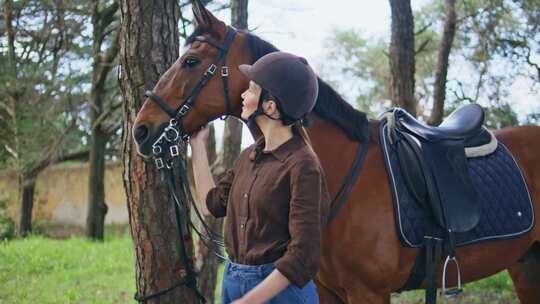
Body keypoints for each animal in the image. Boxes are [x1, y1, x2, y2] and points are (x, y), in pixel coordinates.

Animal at [132, 1, 540, 302]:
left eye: (190, 61)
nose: (141, 130)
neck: (342, 172)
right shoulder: (327, 290)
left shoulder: (369, 293)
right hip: (524, 264)